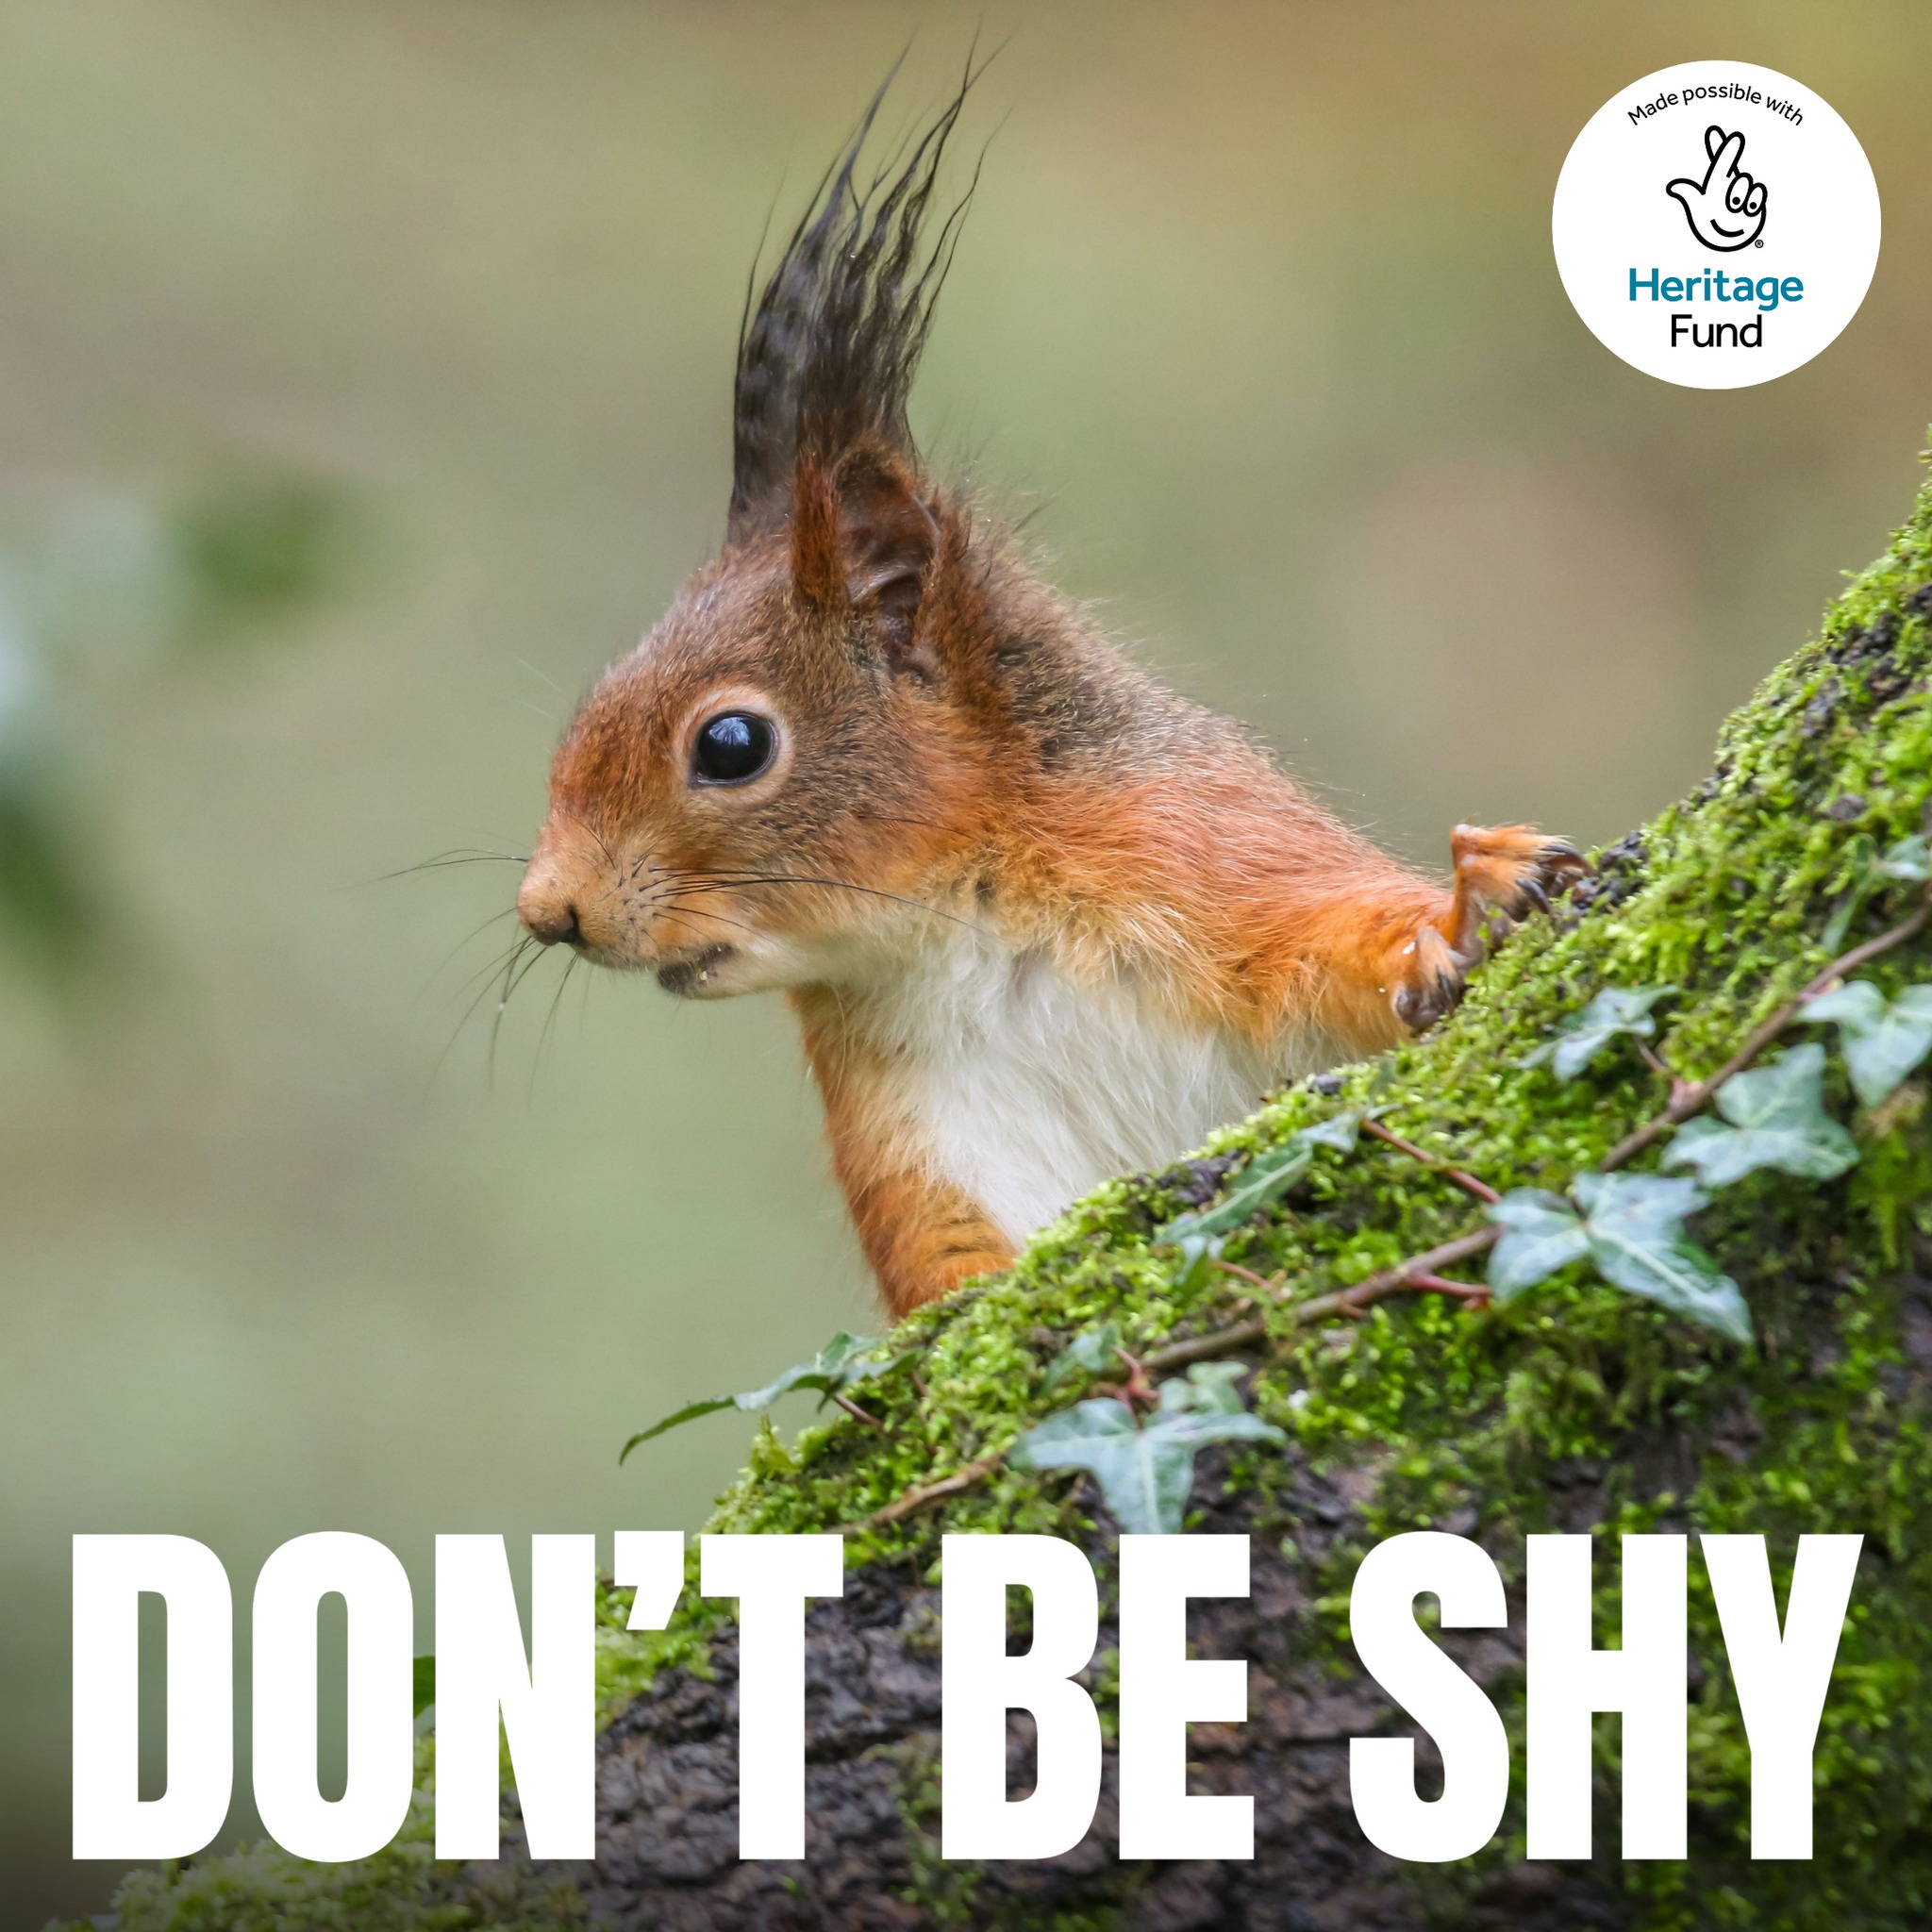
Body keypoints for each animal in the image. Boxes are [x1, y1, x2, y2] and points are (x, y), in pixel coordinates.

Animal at [514, 77, 1586, 1317]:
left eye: (730, 743)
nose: (548, 911)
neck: (966, 920)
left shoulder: (1199, 850)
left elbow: (1329, 942)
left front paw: (1461, 907)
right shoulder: (912, 1123)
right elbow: (948, 1275)